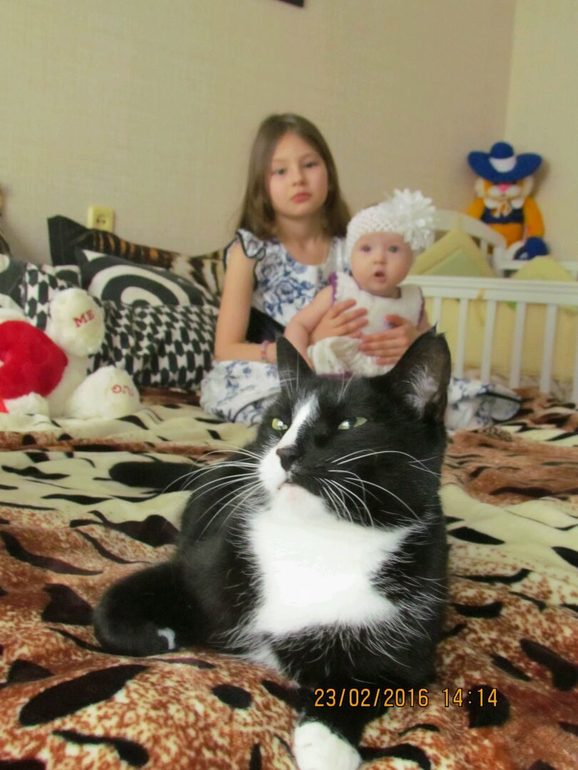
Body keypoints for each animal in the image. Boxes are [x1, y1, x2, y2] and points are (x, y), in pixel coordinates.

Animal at [94, 330, 451, 770]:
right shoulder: (211, 561)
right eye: (280, 423)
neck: (317, 541)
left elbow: (364, 684)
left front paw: (326, 746)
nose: (284, 452)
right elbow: (118, 599)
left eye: (351, 422)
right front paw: (156, 637)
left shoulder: (413, 637)